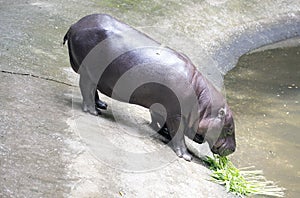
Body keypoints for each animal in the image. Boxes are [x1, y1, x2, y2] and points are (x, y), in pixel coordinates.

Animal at [63, 13, 237, 161]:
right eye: (229, 129)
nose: (234, 149)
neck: (203, 102)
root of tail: (75, 25)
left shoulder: (162, 106)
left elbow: (159, 119)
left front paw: (163, 132)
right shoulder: (177, 114)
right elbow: (178, 134)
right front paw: (186, 156)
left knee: (93, 91)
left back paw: (102, 105)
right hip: (89, 73)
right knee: (86, 89)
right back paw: (94, 112)